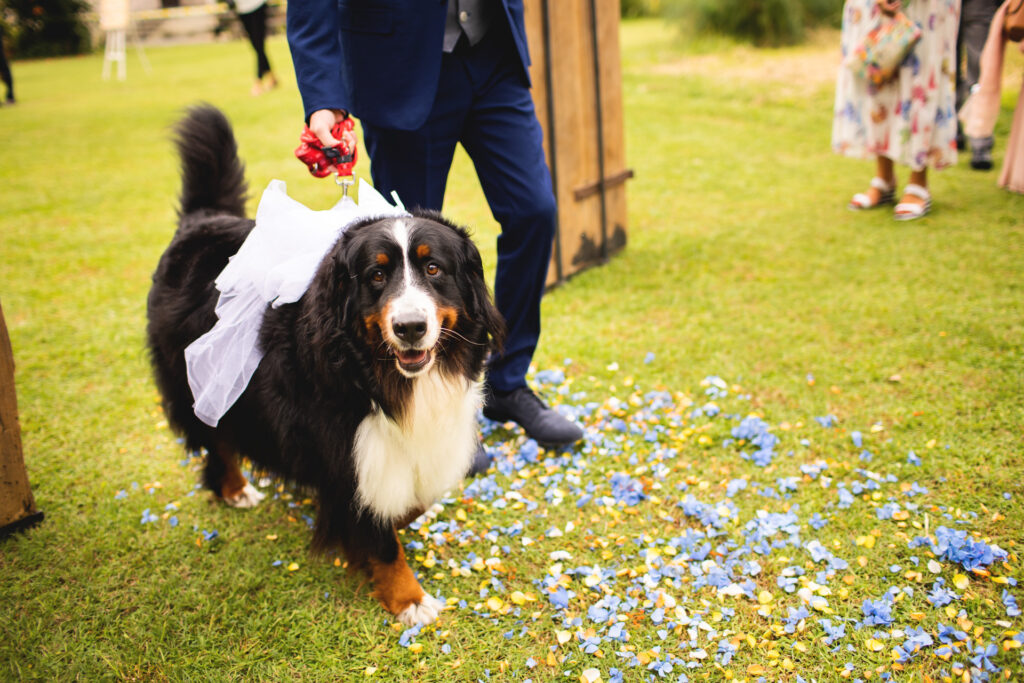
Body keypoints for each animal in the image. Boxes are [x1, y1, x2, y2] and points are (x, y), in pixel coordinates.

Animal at [146, 105, 505, 626]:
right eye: (376, 275)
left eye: (434, 269)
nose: (411, 327)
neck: (374, 372)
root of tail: (202, 221)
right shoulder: (344, 449)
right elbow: (377, 532)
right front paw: (409, 598)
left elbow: (403, 500)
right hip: (200, 377)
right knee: (217, 437)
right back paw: (233, 488)